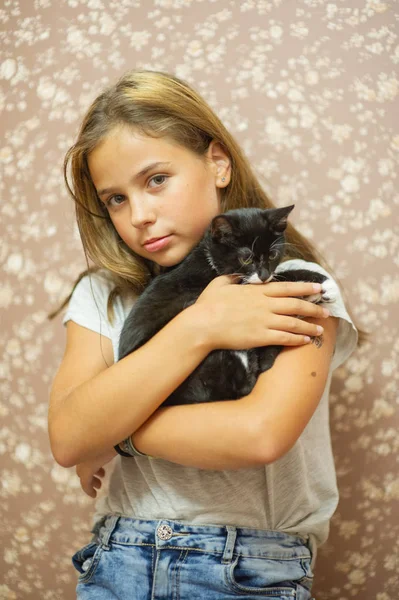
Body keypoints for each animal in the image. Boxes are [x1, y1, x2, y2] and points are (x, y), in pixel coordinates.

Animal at [117, 206, 336, 408]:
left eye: (273, 254)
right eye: (246, 258)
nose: (264, 274)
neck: (210, 259)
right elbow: (281, 281)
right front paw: (324, 283)